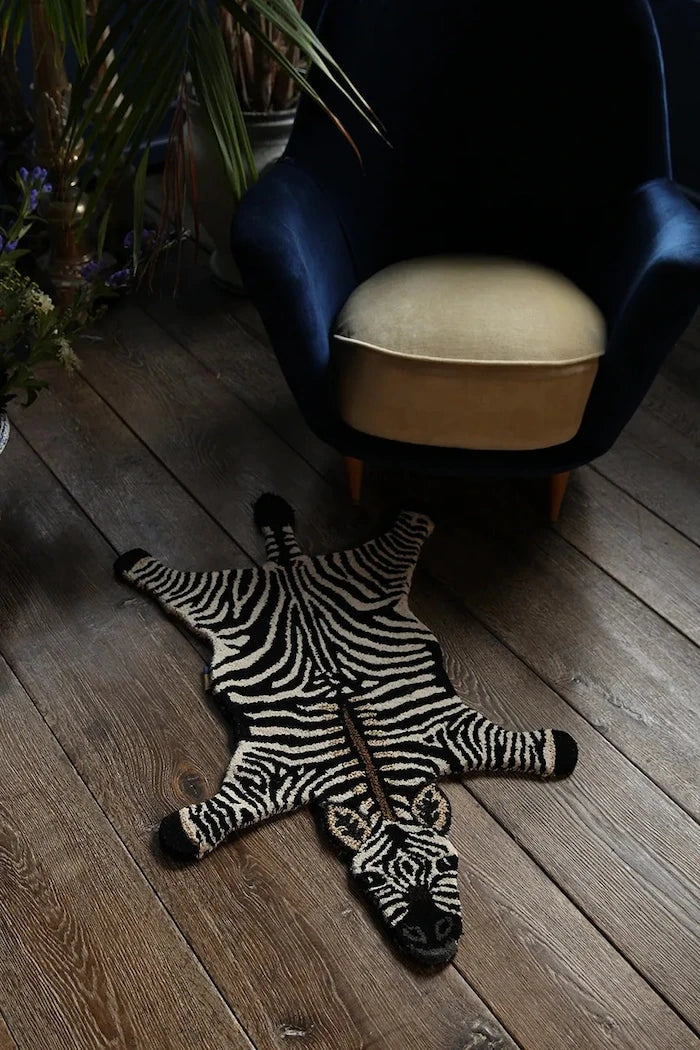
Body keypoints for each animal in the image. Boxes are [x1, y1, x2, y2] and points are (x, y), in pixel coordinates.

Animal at [114, 494, 577, 965]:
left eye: (449, 865)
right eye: (368, 881)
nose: (434, 942)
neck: (374, 776)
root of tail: (289, 567)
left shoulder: (454, 733)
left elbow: (529, 747)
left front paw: (559, 746)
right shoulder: (273, 776)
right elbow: (217, 814)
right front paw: (180, 832)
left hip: (368, 571)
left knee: (400, 540)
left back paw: (405, 513)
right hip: (215, 603)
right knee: (172, 582)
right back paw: (137, 560)